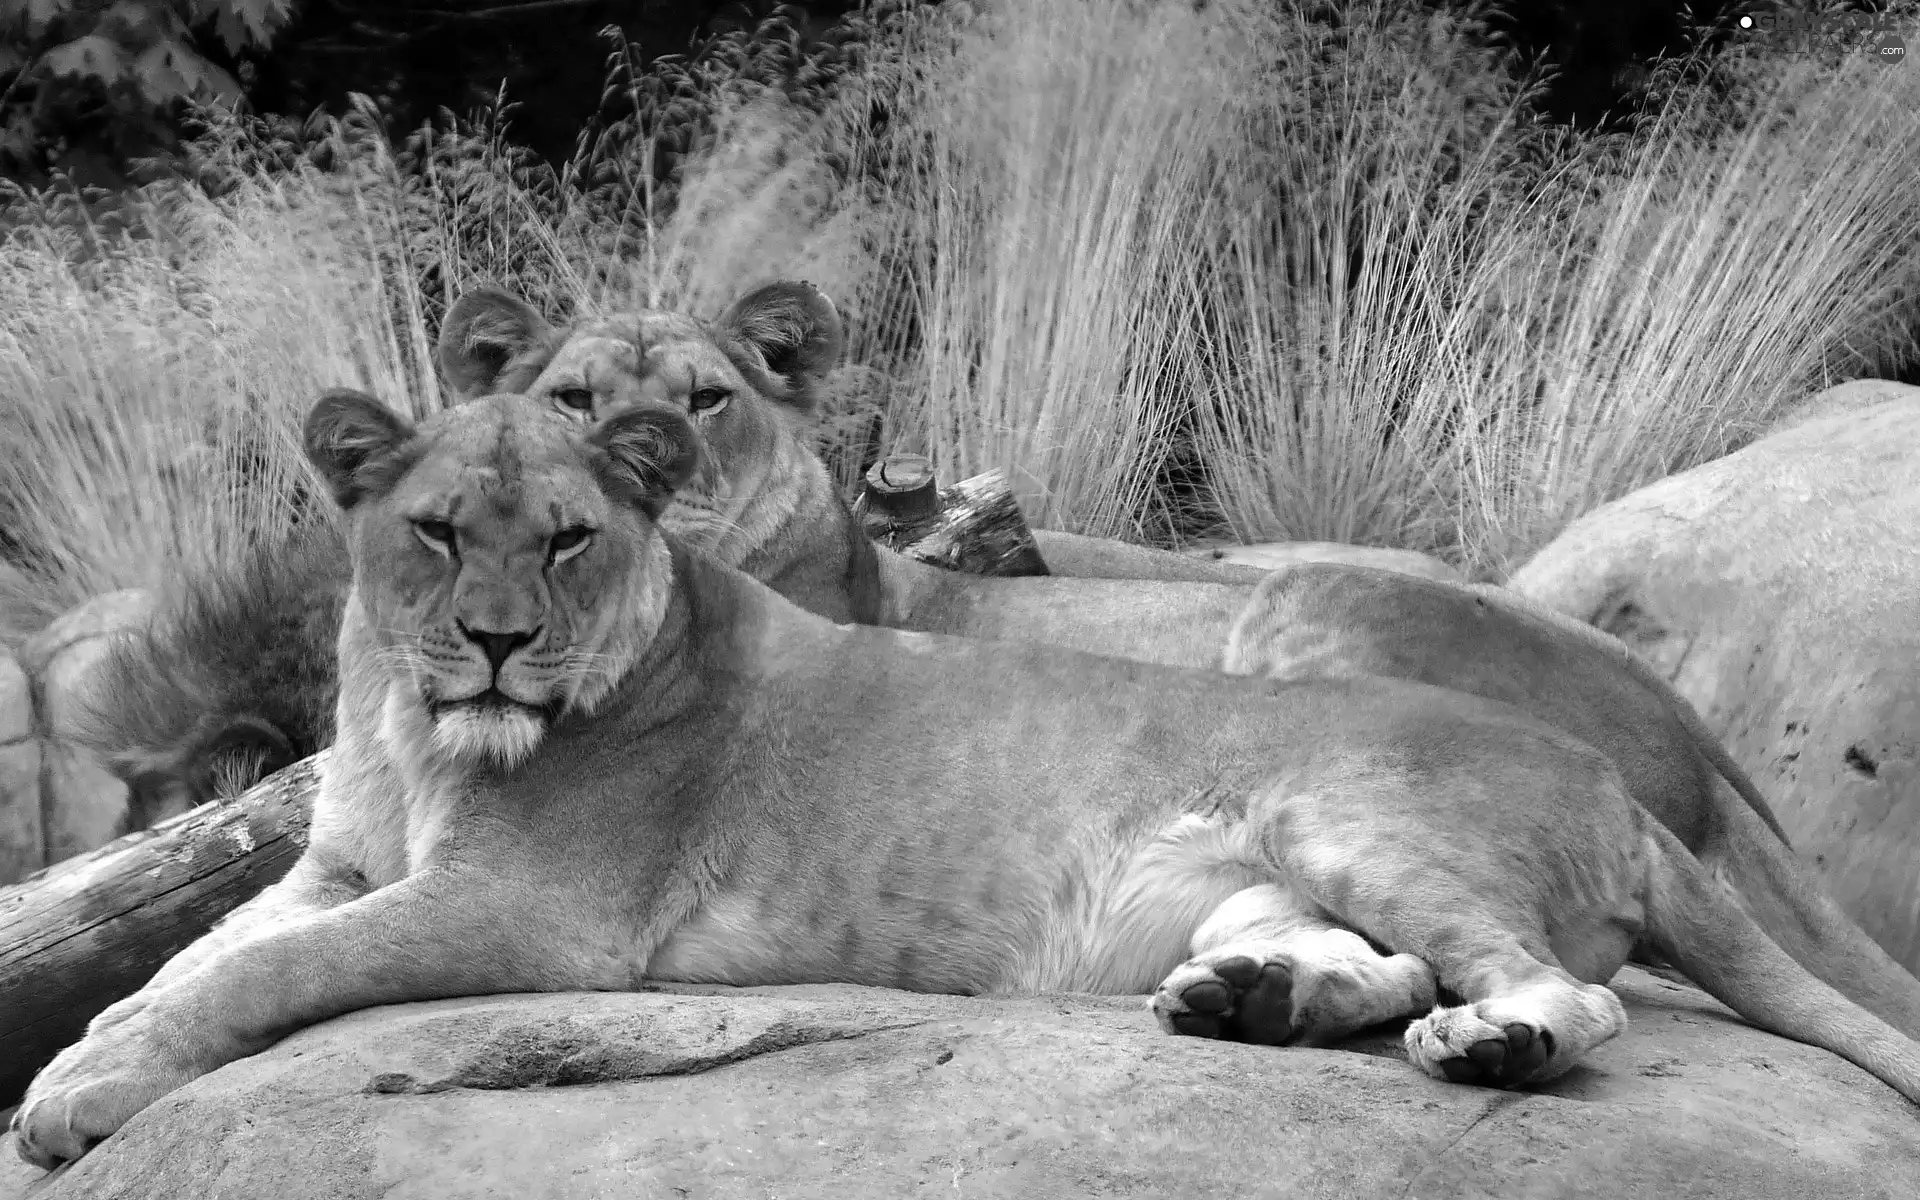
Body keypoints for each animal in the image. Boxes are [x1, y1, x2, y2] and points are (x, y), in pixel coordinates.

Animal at [15, 393, 1920, 1167]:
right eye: (430, 533)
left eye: (564, 539)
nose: (493, 646)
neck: (414, 734)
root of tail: (1624, 774)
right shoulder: (336, 863)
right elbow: (193, 956)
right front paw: (82, 1053)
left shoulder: (529, 911)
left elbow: (257, 978)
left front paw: (85, 1096)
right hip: (1263, 867)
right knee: (1372, 965)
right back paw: (1248, 1004)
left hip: (1344, 797)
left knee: (1560, 996)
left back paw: (1489, 1049)